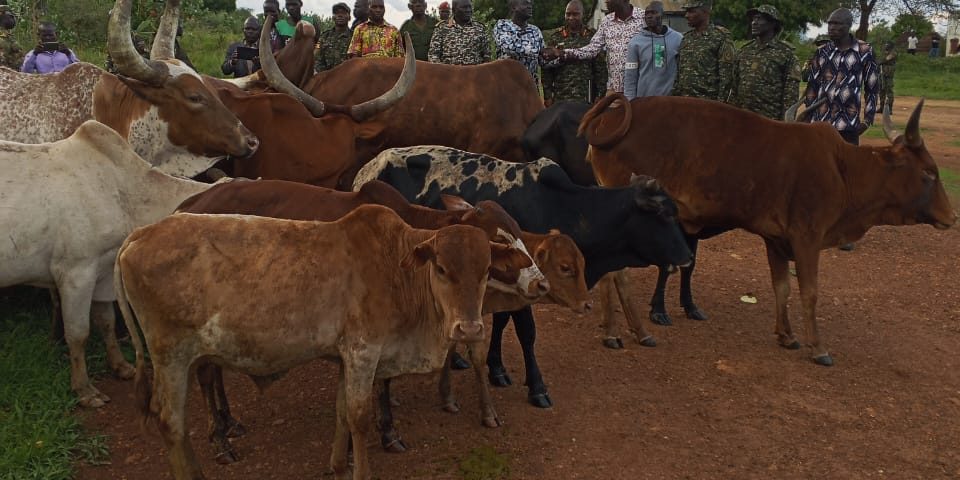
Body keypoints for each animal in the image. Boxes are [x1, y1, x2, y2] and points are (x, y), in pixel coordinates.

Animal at [0, 120, 235, 407]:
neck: (123, 192)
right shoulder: (76, 273)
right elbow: (78, 333)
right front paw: (85, 390)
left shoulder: (104, 273)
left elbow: (106, 322)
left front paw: (121, 366)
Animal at [114, 206, 532, 480]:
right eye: (442, 268)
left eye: (485, 272)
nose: (469, 329)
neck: (396, 269)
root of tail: (138, 235)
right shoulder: (364, 352)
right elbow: (359, 416)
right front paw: (360, 471)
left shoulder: (347, 355)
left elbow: (342, 409)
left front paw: (338, 465)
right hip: (171, 356)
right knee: (171, 423)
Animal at [174, 178, 580, 461]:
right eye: (500, 242)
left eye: (519, 236)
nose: (540, 283)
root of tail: (189, 205)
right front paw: (387, 433)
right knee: (206, 373)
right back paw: (219, 438)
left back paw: (229, 422)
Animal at [354, 146, 693, 407]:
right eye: (664, 214)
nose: (688, 257)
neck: (561, 204)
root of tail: (368, 169)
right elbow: (526, 332)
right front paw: (537, 387)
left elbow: (502, 322)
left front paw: (496, 367)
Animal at [579, 94, 957, 366]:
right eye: (929, 173)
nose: (951, 217)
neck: (843, 169)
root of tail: (612, 119)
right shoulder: (807, 237)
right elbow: (809, 292)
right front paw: (818, 347)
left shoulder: (776, 241)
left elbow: (782, 288)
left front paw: (786, 335)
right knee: (616, 272)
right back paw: (626, 330)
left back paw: (620, 328)